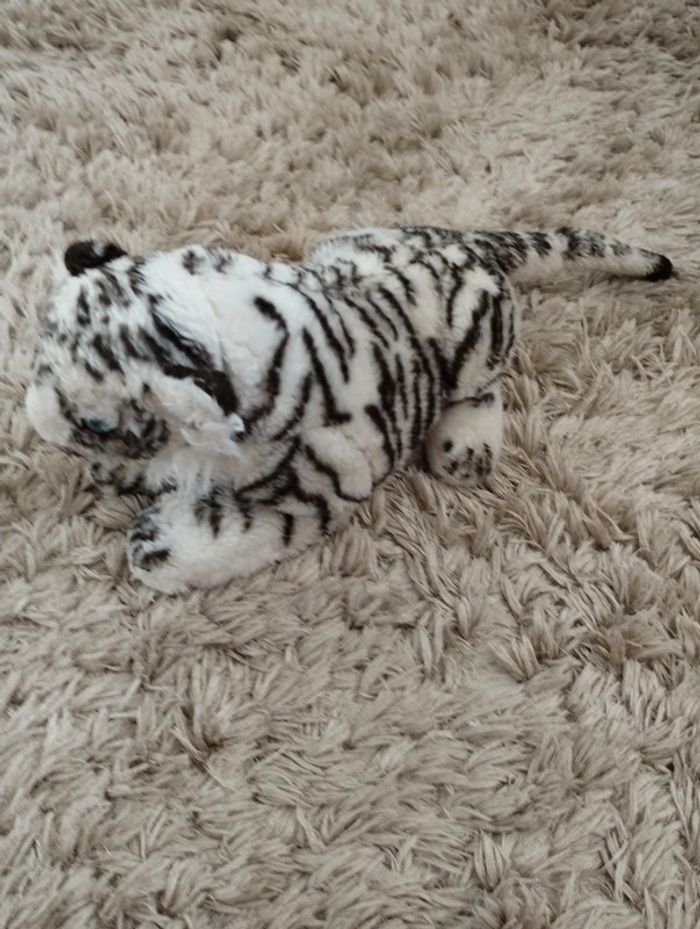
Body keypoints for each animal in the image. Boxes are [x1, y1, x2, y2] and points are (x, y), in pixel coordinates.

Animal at [25, 226, 673, 592]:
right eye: (40, 346)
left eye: (92, 421)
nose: (36, 418)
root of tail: (473, 243)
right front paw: (122, 475)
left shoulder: (313, 492)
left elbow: (231, 533)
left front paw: (156, 544)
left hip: (477, 348)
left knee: (484, 387)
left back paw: (465, 447)